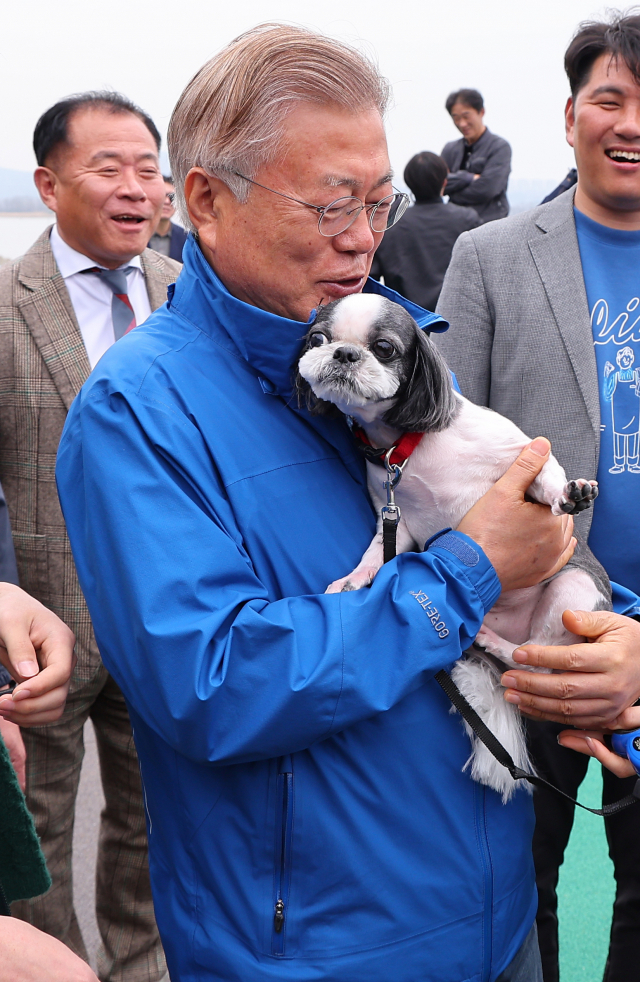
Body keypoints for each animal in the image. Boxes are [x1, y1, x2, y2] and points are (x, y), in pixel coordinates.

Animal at [296, 296, 608, 804]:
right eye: (317, 339)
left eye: (384, 348)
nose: (344, 353)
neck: (408, 445)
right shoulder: (397, 519)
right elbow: (374, 554)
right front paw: (354, 579)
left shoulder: (521, 451)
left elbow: (546, 475)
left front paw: (568, 495)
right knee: (526, 657)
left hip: (574, 587)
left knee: (536, 659)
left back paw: (493, 638)